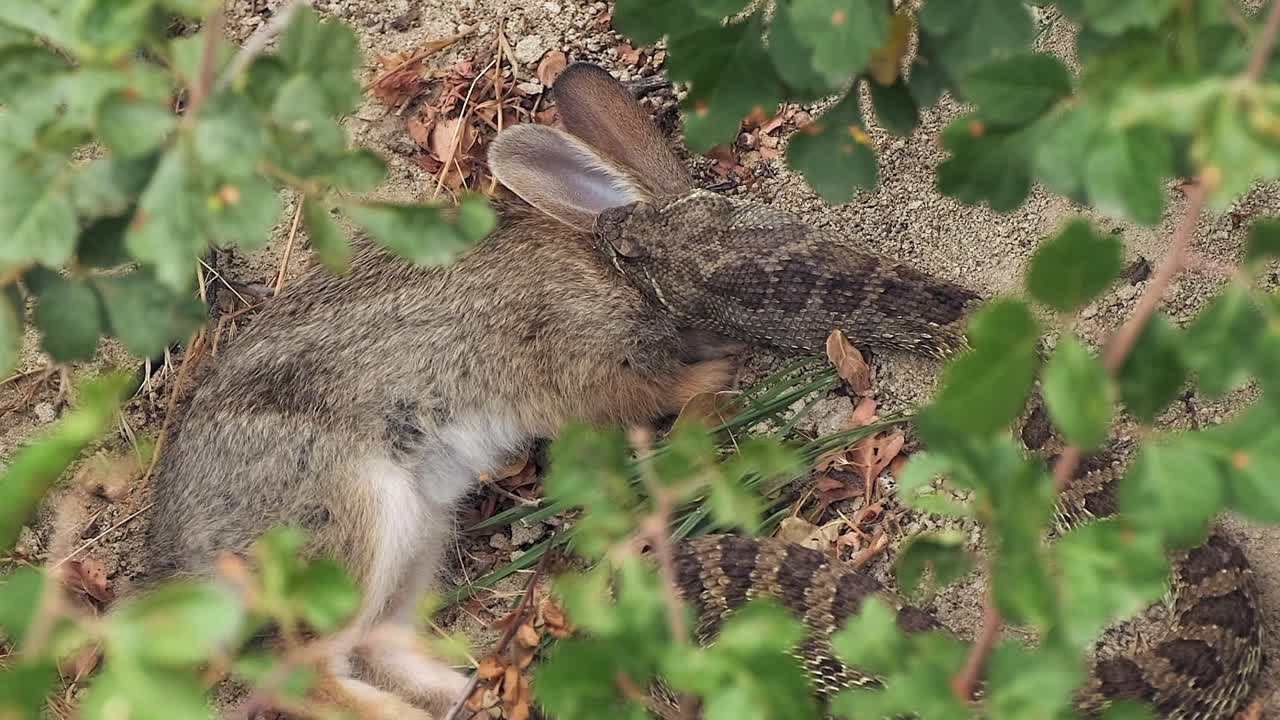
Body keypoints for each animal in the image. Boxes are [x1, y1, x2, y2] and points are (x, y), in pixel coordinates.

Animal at [140, 62, 738, 719]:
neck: (612, 266)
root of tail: (186, 566)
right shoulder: (590, 364)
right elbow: (653, 392)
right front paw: (721, 376)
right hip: (355, 519)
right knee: (304, 672)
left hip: (421, 531)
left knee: (374, 646)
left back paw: (471, 693)